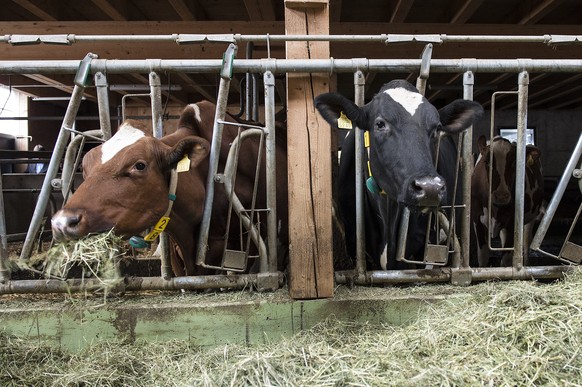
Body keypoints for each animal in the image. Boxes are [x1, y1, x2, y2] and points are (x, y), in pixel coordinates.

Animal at [472, 136, 544, 266]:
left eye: (514, 163)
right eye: (487, 162)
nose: (501, 196)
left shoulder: (512, 223)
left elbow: (505, 260)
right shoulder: (477, 220)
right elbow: (483, 256)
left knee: (526, 240)